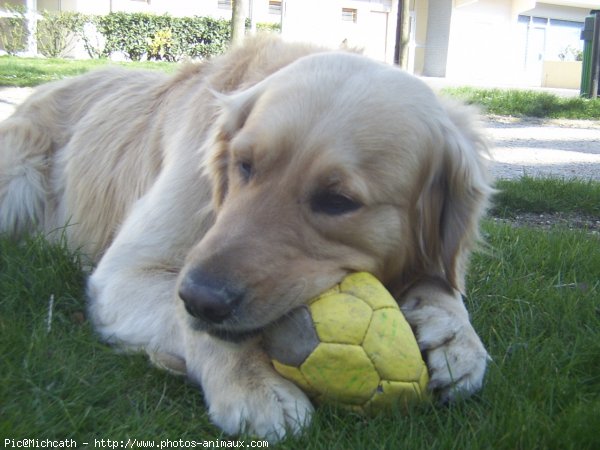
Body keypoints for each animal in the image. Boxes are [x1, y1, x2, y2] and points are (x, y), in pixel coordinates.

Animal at [0, 37, 492, 442]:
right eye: (244, 165)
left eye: (337, 201)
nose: (202, 298)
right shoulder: (126, 272)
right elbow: (197, 325)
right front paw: (255, 385)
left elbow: (445, 281)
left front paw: (455, 336)